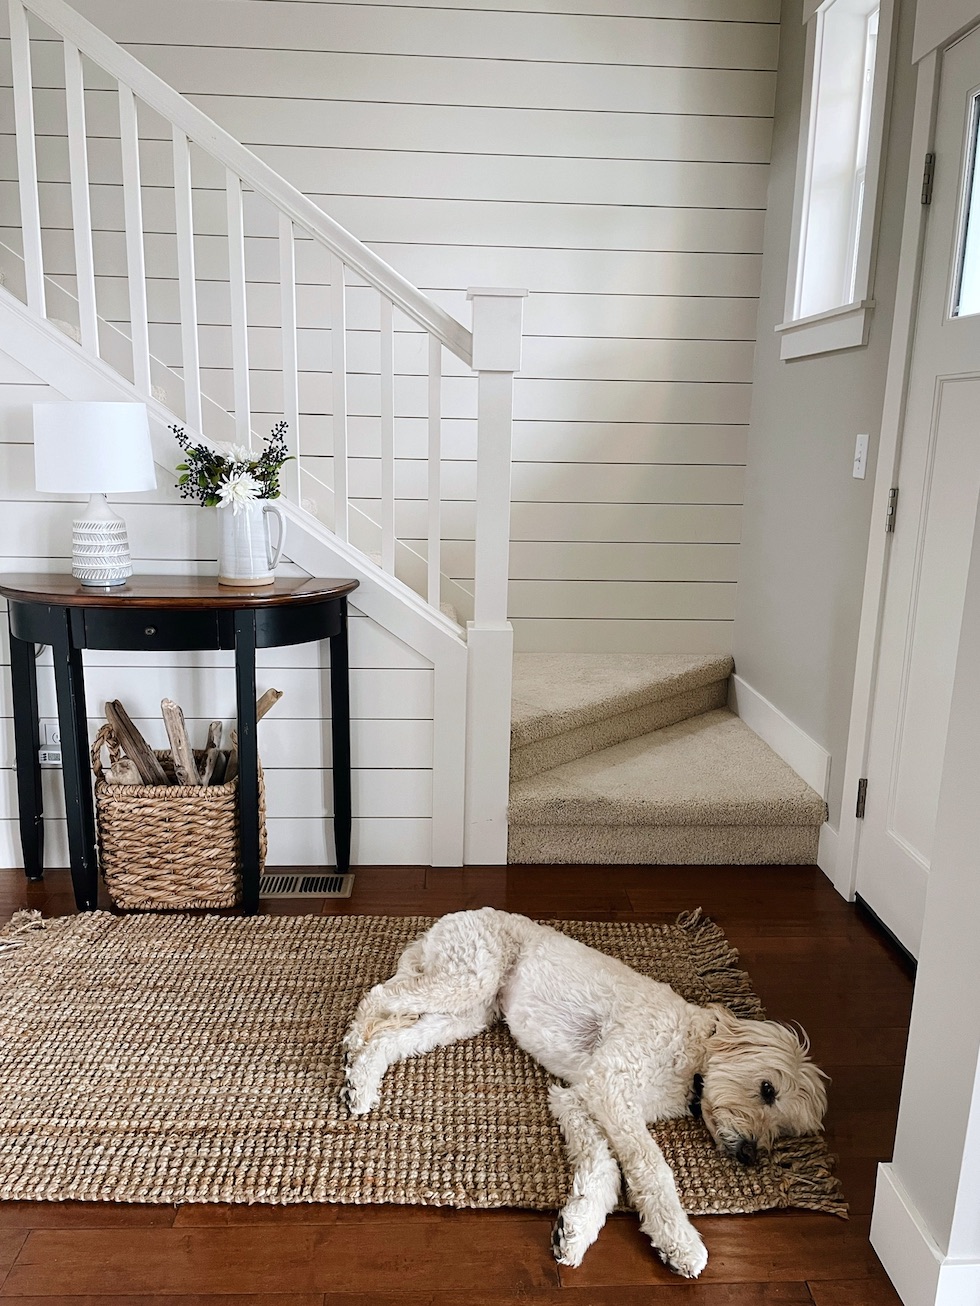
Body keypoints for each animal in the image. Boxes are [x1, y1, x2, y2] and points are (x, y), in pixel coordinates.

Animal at [342, 908, 831, 1274]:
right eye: (767, 1089)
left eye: (786, 1129)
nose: (750, 1155)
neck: (692, 1054)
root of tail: (447, 920)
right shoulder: (611, 1088)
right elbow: (652, 1169)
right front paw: (679, 1241)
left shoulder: (578, 1097)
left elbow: (604, 1168)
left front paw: (575, 1229)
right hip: (465, 979)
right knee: (379, 994)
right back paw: (352, 1046)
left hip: (467, 1014)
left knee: (393, 1036)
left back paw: (362, 1079)